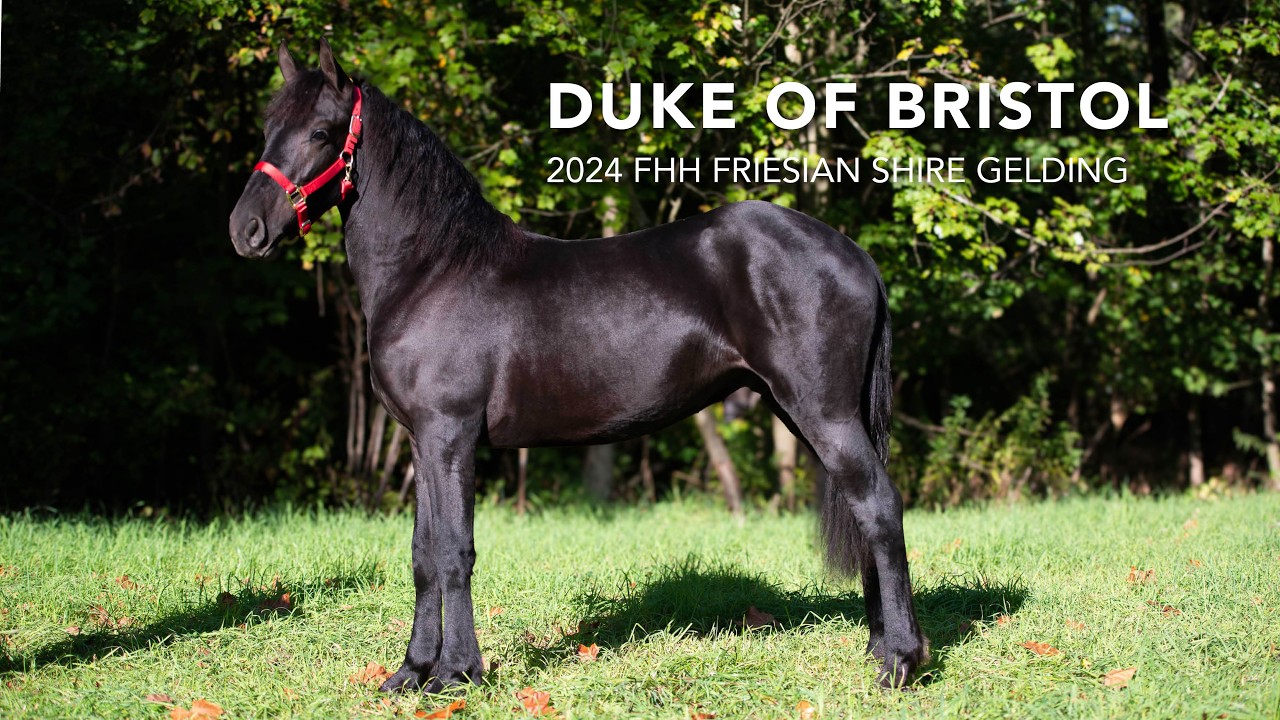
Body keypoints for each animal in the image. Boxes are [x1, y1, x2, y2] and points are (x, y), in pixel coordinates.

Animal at [229, 39, 927, 692]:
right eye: (269, 128)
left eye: (321, 132)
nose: (246, 229)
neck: (433, 269)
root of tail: (853, 254)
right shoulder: (421, 441)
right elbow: (424, 554)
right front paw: (411, 673)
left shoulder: (450, 435)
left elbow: (454, 551)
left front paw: (458, 672)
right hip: (803, 411)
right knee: (866, 510)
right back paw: (881, 646)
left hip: (824, 414)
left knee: (879, 506)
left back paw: (899, 661)